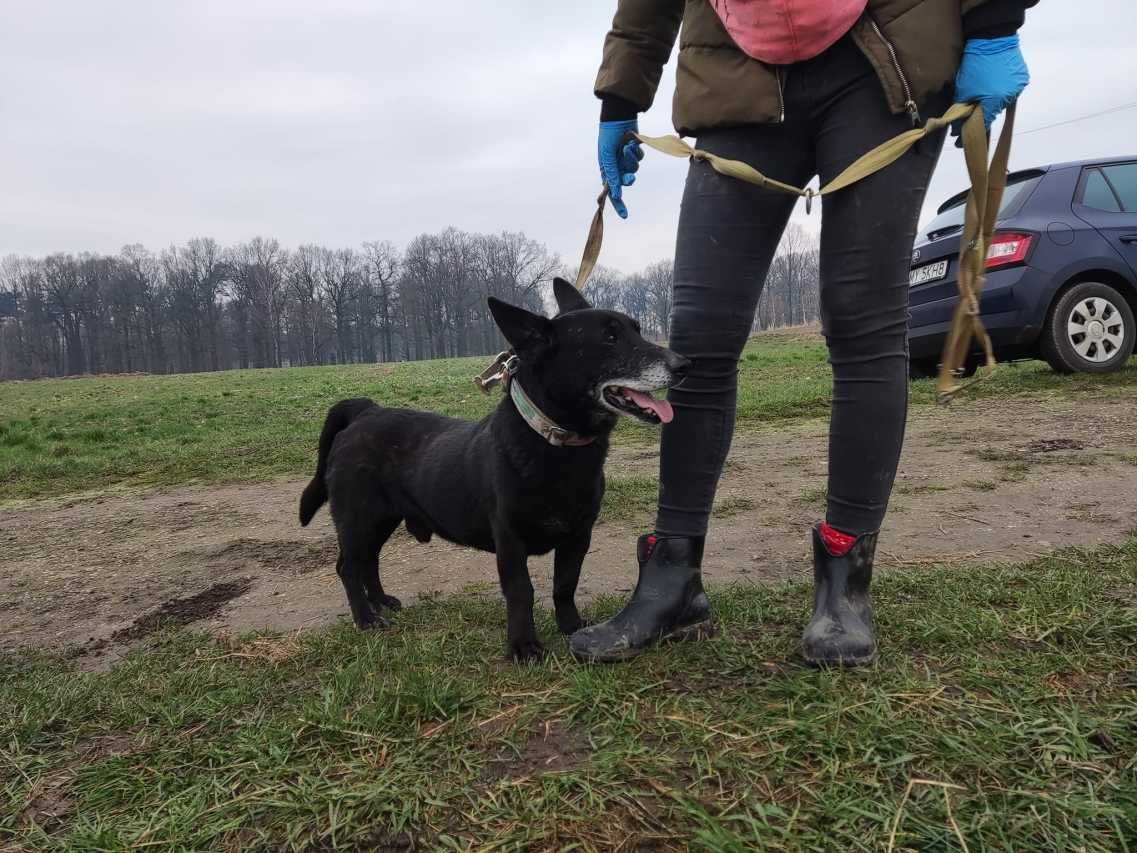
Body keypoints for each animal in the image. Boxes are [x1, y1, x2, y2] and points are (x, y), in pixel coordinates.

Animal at [300, 280, 682, 659]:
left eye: (637, 329)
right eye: (609, 338)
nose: (684, 363)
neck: (554, 444)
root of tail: (365, 411)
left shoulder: (578, 535)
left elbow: (565, 584)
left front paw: (572, 627)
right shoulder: (509, 539)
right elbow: (521, 591)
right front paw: (523, 645)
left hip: (381, 519)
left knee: (369, 561)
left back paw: (379, 601)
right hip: (358, 517)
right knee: (349, 566)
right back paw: (365, 617)